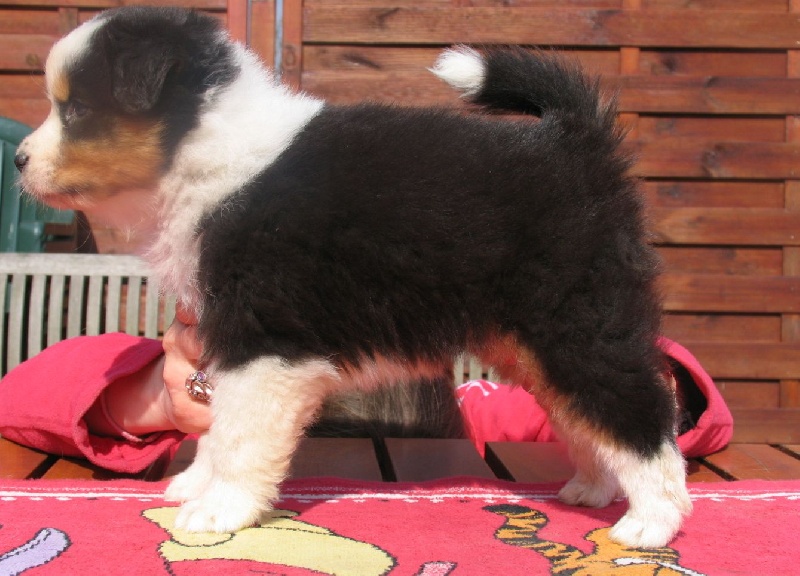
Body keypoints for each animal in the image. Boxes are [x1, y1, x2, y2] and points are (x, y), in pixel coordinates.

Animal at [15, 6, 691, 548]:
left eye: (76, 109)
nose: (19, 159)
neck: (205, 151)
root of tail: (576, 143)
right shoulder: (227, 339)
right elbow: (215, 426)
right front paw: (194, 485)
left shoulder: (266, 344)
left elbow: (238, 435)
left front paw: (218, 511)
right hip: (535, 344)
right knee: (585, 417)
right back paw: (592, 489)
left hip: (577, 323)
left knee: (641, 414)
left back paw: (651, 524)